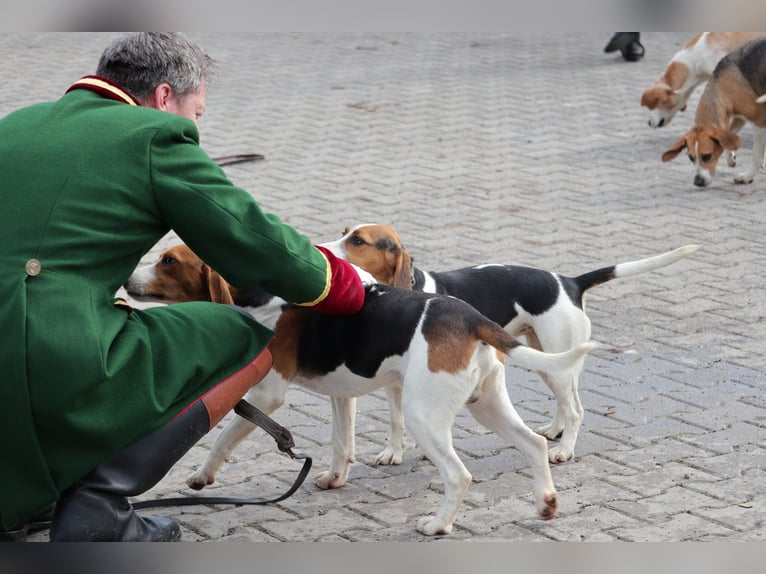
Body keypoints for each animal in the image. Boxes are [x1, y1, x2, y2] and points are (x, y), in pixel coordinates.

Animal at [324, 223, 704, 466]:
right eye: (345, 232)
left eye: (358, 241)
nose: (324, 248)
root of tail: (569, 282)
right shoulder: (394, 385)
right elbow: (396, 421)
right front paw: (395, 452)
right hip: (546, 358)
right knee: (566, 403)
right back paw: (555, 431)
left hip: (555, 358)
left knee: (576, 409)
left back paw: (565, 450)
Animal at [660, 36, 766, 189]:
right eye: (691, 157)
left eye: (707, 156)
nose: (697, 182)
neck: (721, 85)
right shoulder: (739, 117)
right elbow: (731, 134)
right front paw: (730, 157)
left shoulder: (759, 121)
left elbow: (756, 155)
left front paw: (748, 176)